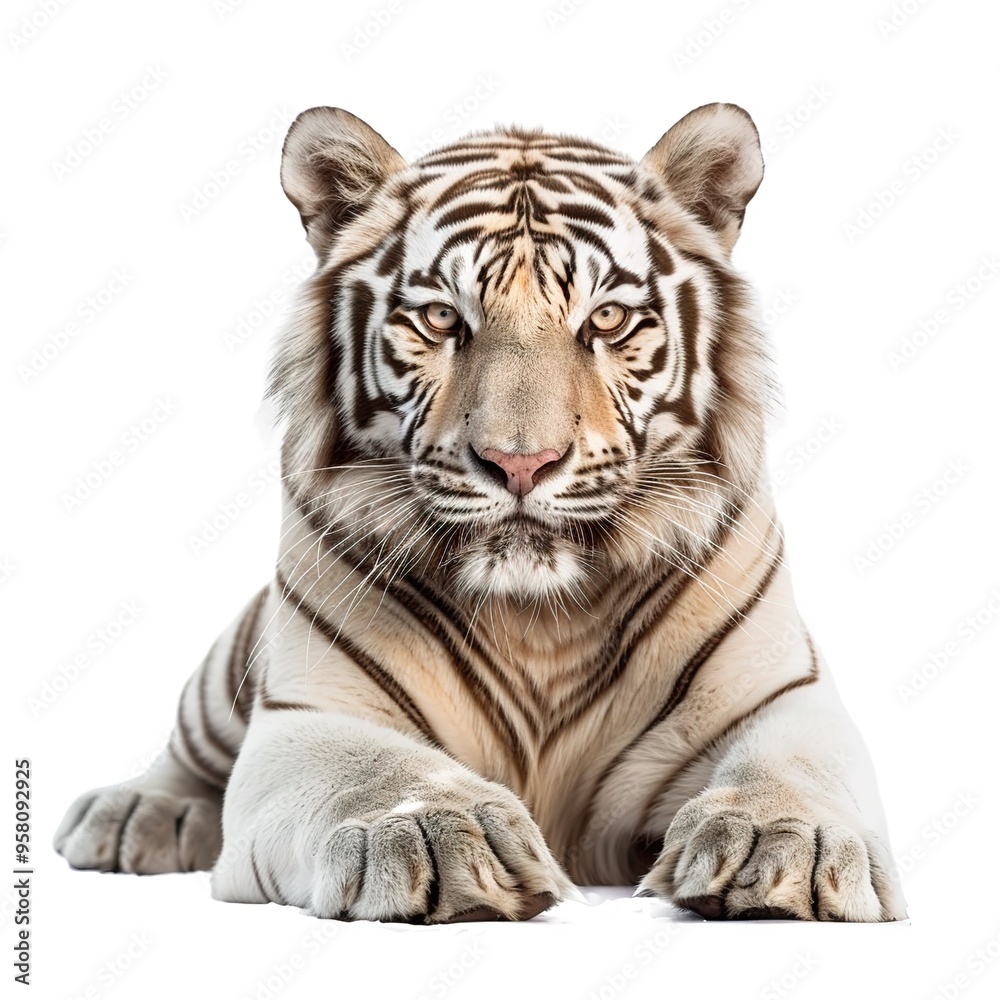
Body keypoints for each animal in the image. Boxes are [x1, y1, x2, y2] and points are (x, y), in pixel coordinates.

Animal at [55, 102, 907, 924]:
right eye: (440, 320)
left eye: (606, 321)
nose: (520, 462)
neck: (540, 618)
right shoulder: (308, 711)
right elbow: (375, 768)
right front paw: (436, 835)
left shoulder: (782, 694)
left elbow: (790, 767)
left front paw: (779, 843)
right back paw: (133, 813)